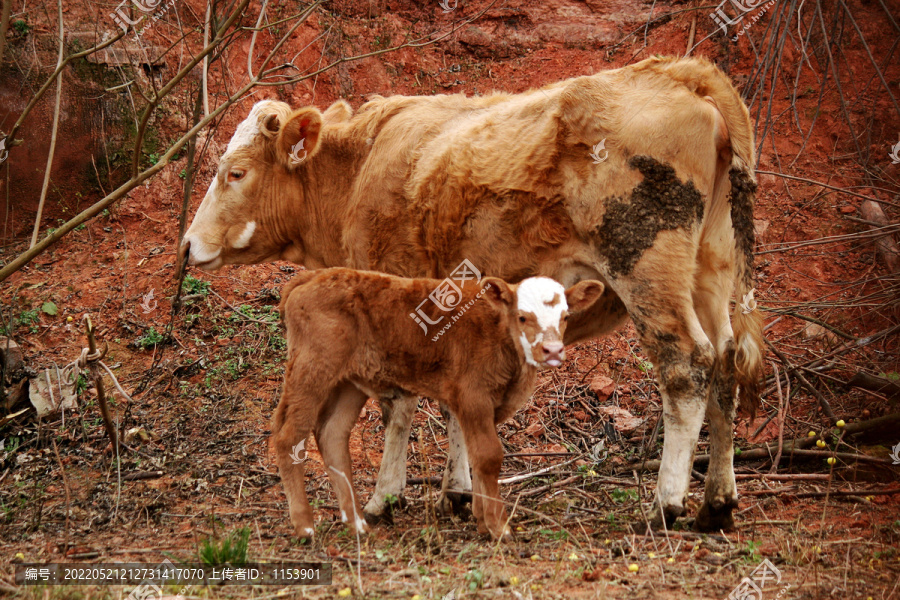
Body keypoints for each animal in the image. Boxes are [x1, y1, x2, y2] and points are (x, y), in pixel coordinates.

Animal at [270, 268, 600, 540]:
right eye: (522, 316)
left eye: (565, 317)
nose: (553, 350)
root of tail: (312, 276)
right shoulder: (473, 396)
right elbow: (489, 455)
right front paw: (499, 527)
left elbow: (477, 456)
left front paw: (482, 520)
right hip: (312, 370)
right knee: (288, 437)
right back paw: (305, 526)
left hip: (349, 382)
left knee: (332, 434)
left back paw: (358, 524)